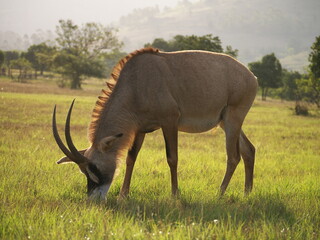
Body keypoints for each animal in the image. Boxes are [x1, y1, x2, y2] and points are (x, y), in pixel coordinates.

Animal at [52, 47, 258, 201]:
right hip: (225, 121)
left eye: (93, 167)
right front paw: (123, 195)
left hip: (233, 118)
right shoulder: (140, 129)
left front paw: (175, 196)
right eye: (83, 171)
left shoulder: (170, 121)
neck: (136, 82)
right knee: (249, 149)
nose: (93, 199)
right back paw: (247, 193)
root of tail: (251, 76)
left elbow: (172, 158)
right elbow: (131, 158)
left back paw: (219, 194)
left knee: (233, 156)